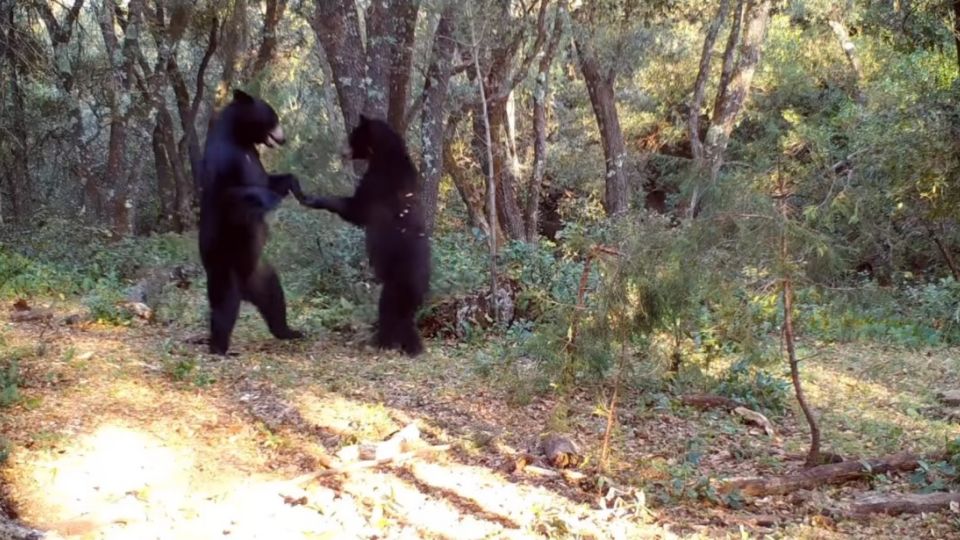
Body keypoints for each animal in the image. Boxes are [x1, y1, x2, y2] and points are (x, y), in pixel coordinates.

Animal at [298, 116, 430, 356]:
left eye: (353, 136)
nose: (341, 151)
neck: (385, 155)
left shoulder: (378, 183)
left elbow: (356, 209)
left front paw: (313, 198)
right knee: (405, 317)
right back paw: (410, 346)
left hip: (396, 283)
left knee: (390, 310)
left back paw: (385, 342)